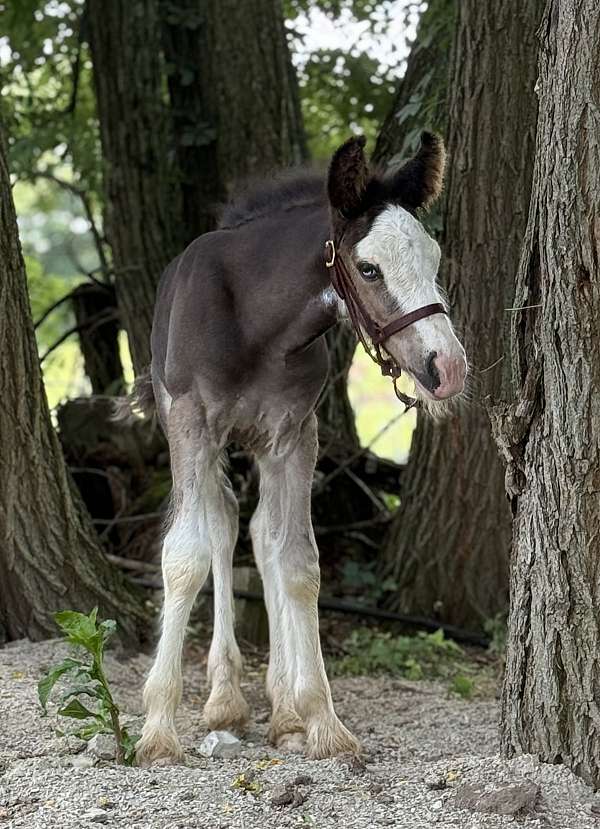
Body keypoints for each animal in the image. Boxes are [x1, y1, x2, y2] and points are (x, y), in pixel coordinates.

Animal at [130, 132, 467, 765]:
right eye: (368, 267)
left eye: (434, 260)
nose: (447, 368)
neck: (255, 324)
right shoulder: (191, 423)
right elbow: (185, 556)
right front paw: (158, 729)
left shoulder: (294, 434)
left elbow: (298, 563)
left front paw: (318, 720)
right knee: (221, 525)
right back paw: (224, 698)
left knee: (261, 535)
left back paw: (278, 707)